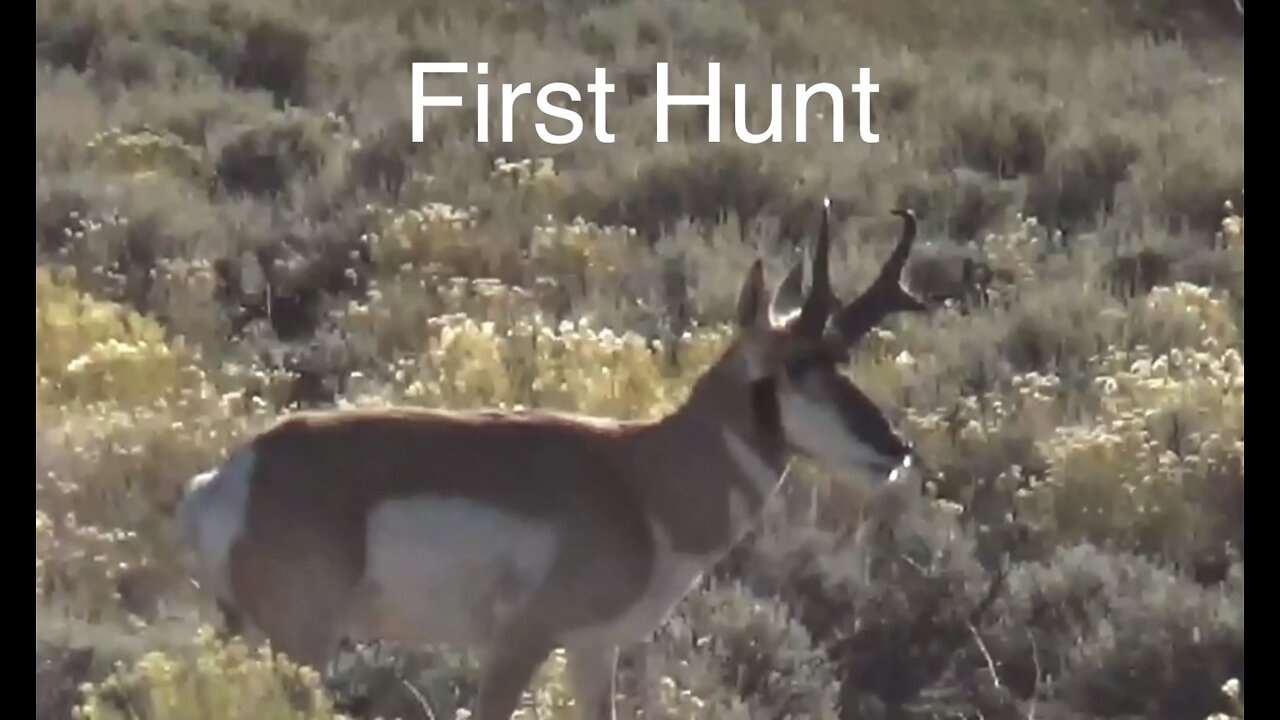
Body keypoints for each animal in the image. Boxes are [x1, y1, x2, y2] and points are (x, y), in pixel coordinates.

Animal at [175, 199, 931, 717]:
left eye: (842, 360)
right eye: (797, 365)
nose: (895, 449)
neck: (642, 480)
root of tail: (231, 475)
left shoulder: (593, 650)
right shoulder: (521, 644)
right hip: (302, 643)